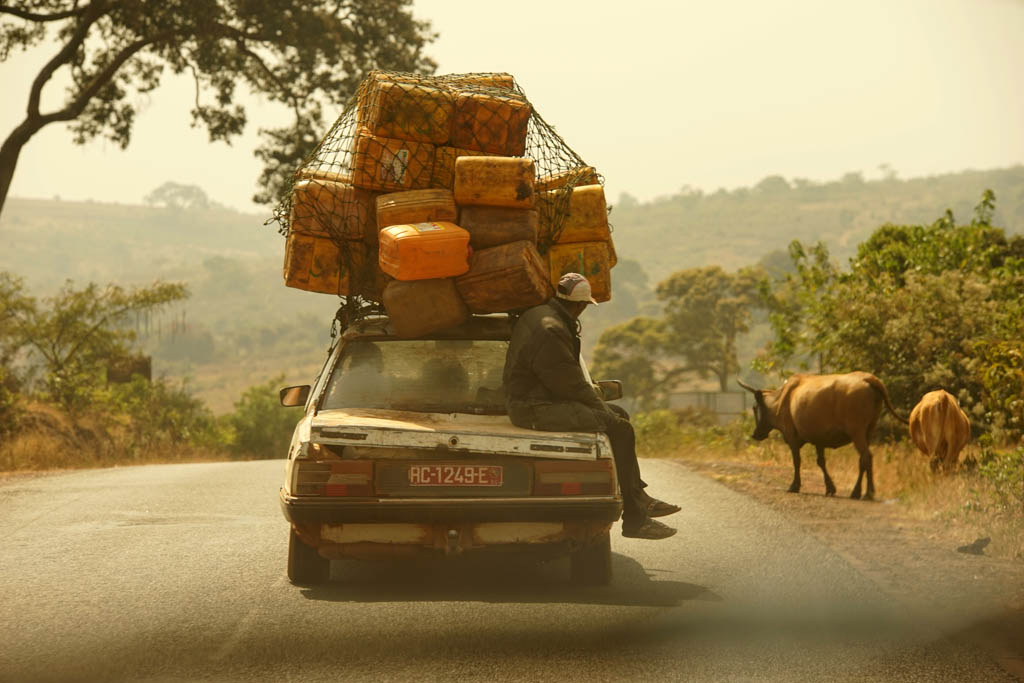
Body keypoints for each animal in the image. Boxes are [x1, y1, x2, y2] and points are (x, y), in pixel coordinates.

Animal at [741, 374, 909, 501]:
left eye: (755, 407)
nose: (755, 433)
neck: (782, 399)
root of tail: (868, 378)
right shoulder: (819, 439)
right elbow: (821, 462)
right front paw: (830, 488)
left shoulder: (792, 437)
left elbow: (797, 461)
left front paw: (794, 486)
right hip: (869, 430)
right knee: (864, 459)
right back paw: (861, 492)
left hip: (857, 431)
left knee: (866, 457)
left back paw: (865, 493)